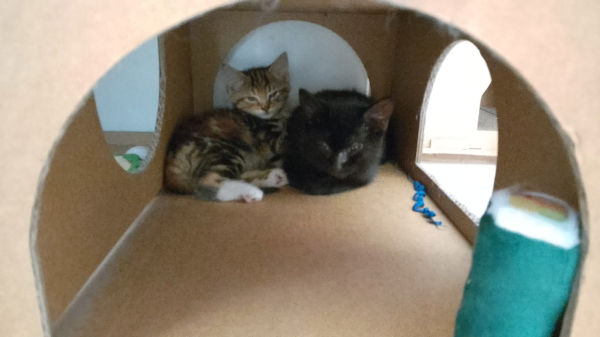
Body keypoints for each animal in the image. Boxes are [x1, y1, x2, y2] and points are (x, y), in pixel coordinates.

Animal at [165, 51, 292, 201]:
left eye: (273, 94)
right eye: (251, 98)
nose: (265, 108)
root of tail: (171, 156)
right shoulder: (266, 136)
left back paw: (275, 177)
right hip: (227, 149)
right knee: (208, 182)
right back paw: (251, 192)